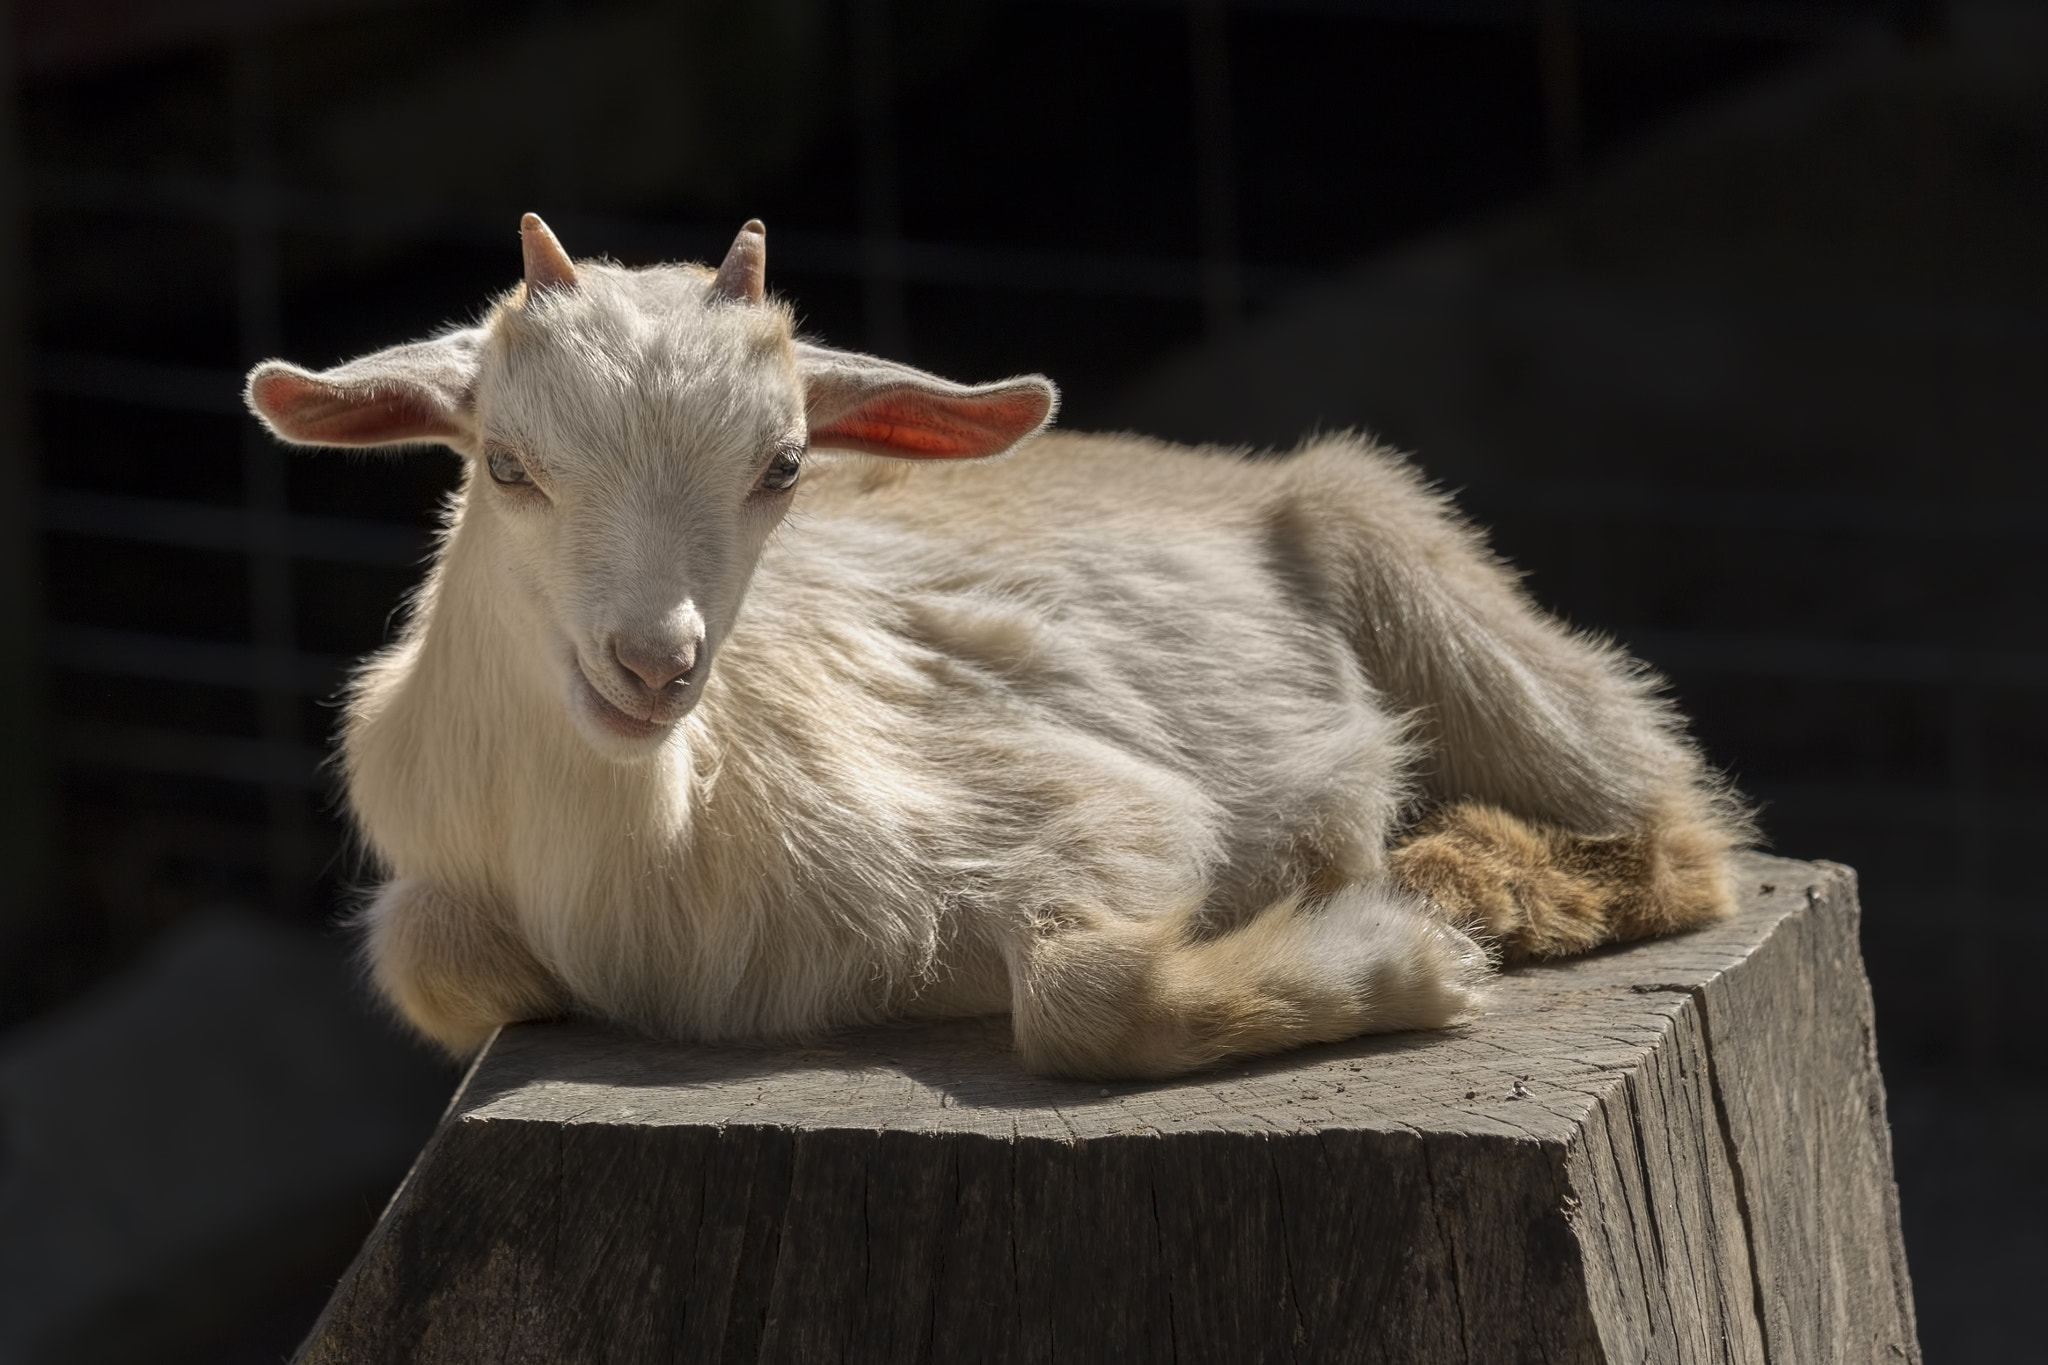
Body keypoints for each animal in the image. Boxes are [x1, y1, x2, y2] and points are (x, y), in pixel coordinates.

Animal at [244, 216, 1744, 1079]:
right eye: (506, 464)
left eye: (784, 465)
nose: (653, 665)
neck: (643, 844)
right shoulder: (436, 904)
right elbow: (434, 959)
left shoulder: (1104, 804)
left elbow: (1077, 997)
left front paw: (1405, 959)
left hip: (1417, 569)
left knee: (1676, 835)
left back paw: (1470, 880)